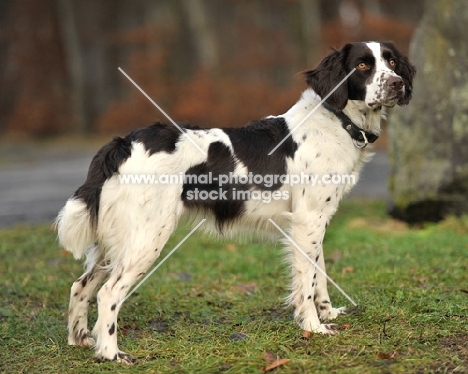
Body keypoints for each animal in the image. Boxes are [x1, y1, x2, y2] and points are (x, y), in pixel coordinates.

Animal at [56, 41, 414, 366]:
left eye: (392, 61)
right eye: (363, 65)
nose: (397, 83)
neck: (336, 120)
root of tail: (123, 143)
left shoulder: (313, 220)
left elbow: (319, 274)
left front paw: (328, 315)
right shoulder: (309, 219)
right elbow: (307, 282)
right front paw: (313, 327)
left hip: (114, 241)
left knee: (80, 286)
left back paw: (80, 339)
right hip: (149, 235)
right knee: (108, 293)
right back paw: (110, 353)